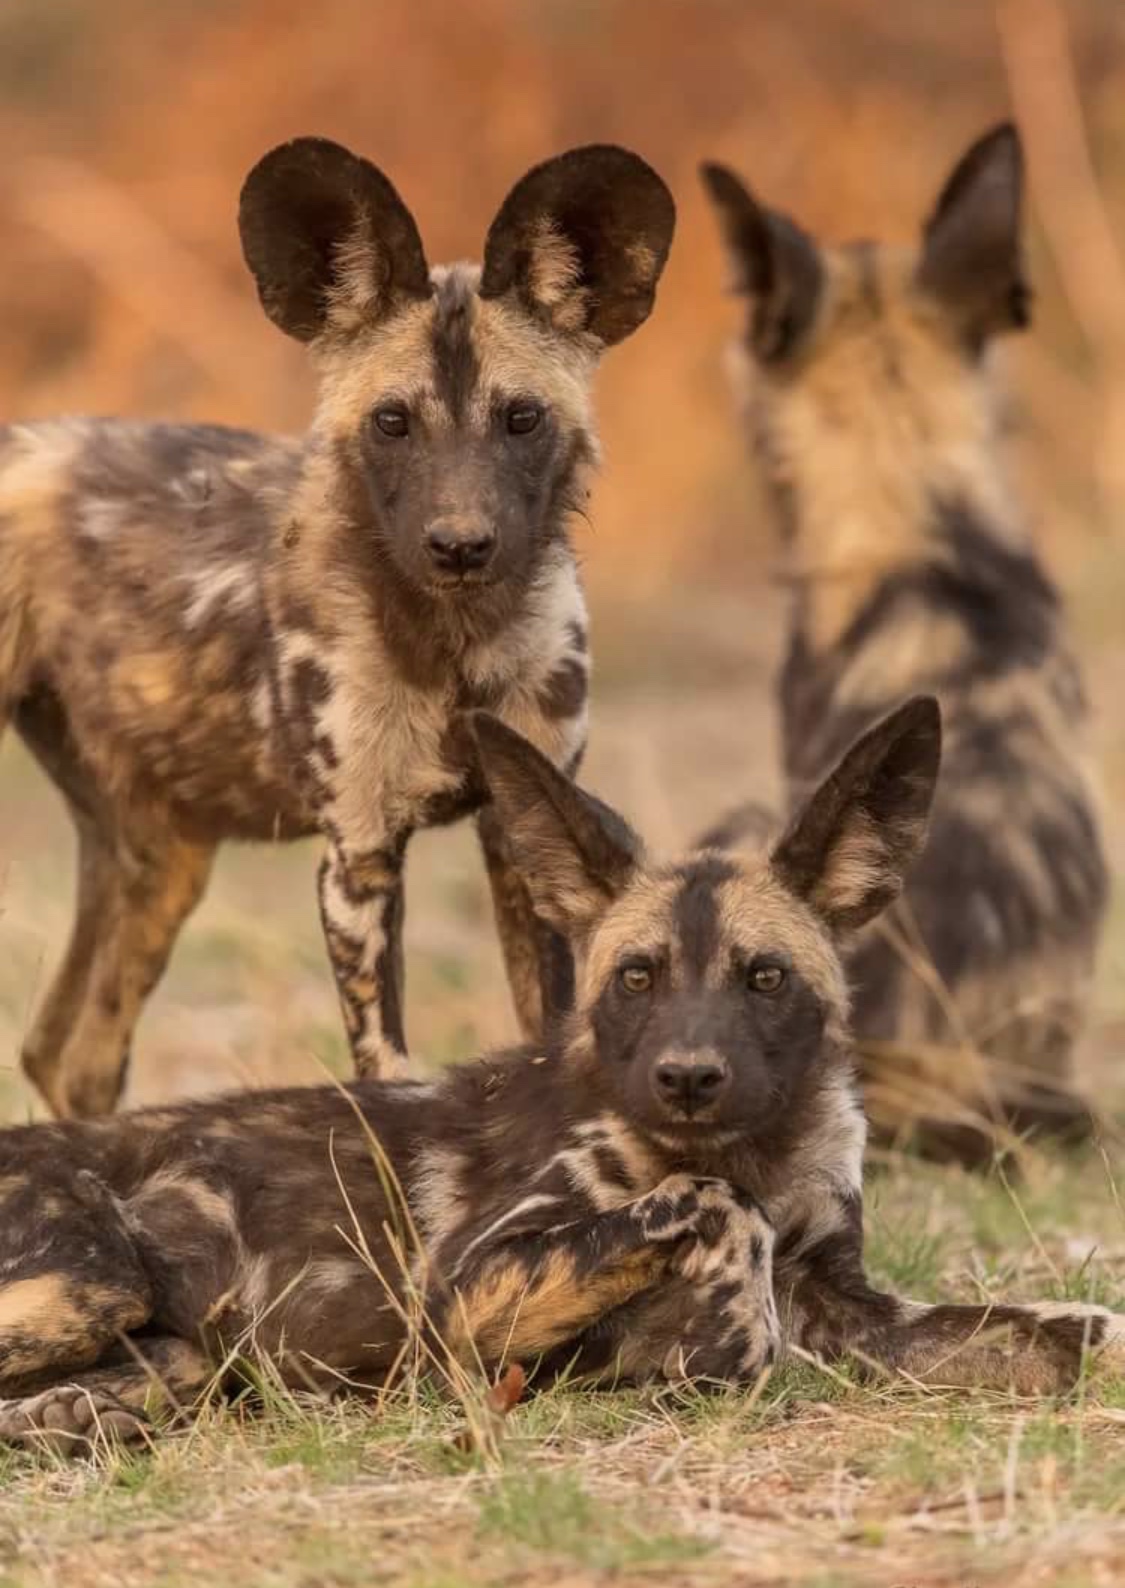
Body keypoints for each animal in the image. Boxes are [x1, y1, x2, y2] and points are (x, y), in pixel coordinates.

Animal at [0, 139, 676, 1117]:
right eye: (392, 422)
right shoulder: (357, 860)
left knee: (67, 1053)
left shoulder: (528, 840)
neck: (455, 646)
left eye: (522, 419)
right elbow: (386, 1073)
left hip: (158, 859)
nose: (459, 545)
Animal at [2, 695, 1125, 1454]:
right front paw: (714, 1348)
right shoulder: (461, 1290)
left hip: (164, 1340)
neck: (757, 1153)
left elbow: (1062, 1335)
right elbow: (715, 1213)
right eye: (636, 977)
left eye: (764, 977)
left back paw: (78, 1414)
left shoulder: (859, 1311)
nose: (688, 1078)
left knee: (149, 1377)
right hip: (93, 1280)